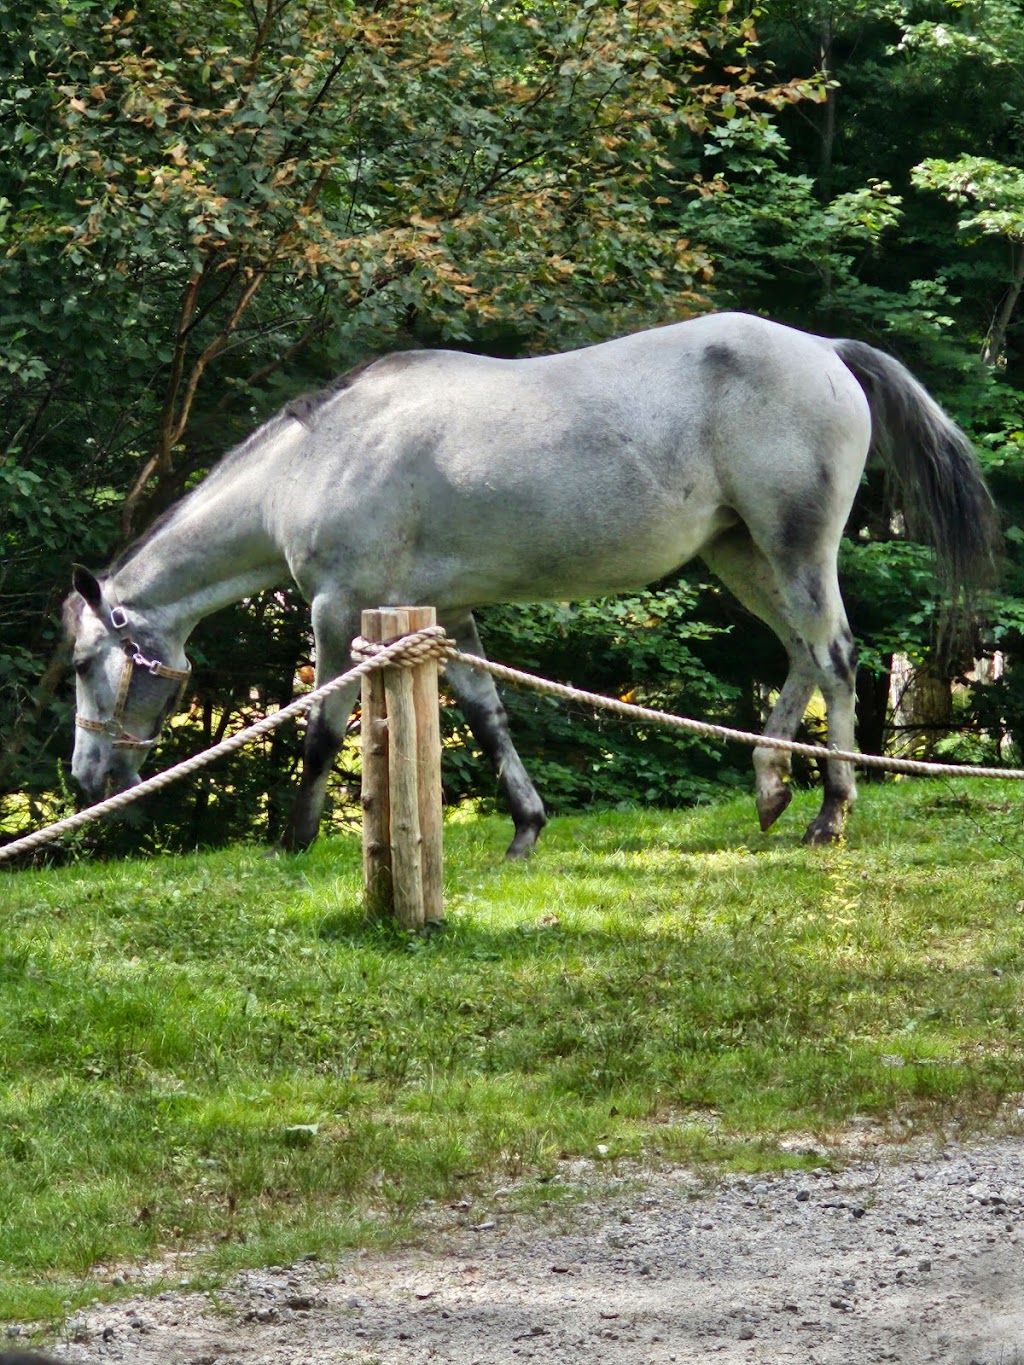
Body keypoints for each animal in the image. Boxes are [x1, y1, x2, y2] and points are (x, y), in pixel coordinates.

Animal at [62, 312, 993, 846]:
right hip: (740, 553)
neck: (314, 461)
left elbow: (323, 728)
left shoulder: (338, 612)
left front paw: (292, 840)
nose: (85, 777)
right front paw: (526, 826)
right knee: (802, 653)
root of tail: (822, 348)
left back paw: (830, 811)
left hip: (793, 547)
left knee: (833, 656)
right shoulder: (448, 613)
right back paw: (769, 787)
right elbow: (487, 714)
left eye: (79, 664)